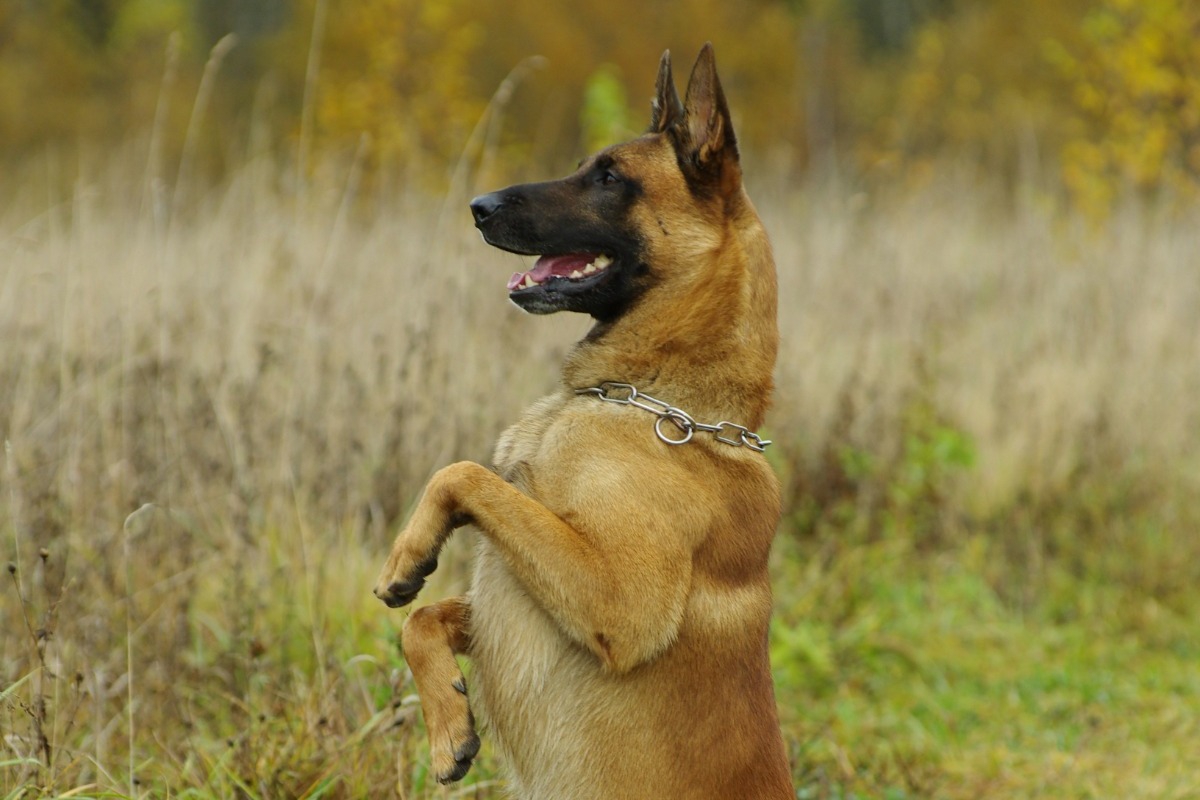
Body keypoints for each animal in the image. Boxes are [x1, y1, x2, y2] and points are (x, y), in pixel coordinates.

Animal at [369, 43, 792, 800]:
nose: (478, 206)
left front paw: (406, 553)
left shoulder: (619, 600)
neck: (652, 400)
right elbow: (421, 618)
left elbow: (465, 473)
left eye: (610, 177)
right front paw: (449, 723)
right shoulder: (512, 597)